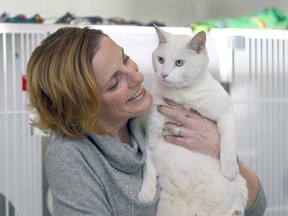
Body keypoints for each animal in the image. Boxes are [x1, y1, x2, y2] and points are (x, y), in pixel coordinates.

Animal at [138, 26, 249, 216]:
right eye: (160, 59)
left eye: (179, 63)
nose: (163, 74)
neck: (182, 95)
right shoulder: (152, 132)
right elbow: (149, 168)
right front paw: (147, 192)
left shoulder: (226, 110)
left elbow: (228, 139)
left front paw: (229, 169)